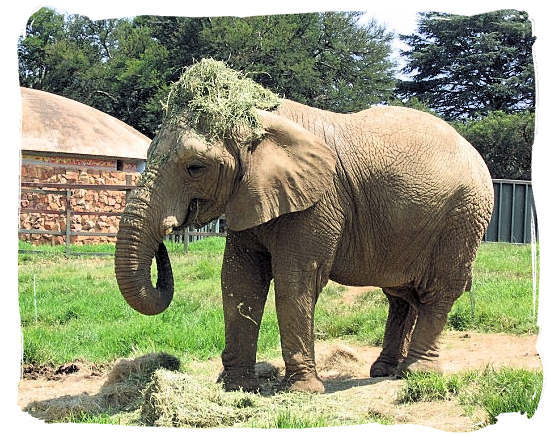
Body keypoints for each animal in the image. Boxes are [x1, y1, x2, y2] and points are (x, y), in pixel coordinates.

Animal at [116, 58, 496, 396]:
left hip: (463, 215)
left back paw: (417, 374)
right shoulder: (251, 196)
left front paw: (301, 391)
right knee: (401, 295)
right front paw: (236, 388)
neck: (258, 118)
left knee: (438, 290)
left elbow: (295, 279)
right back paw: (386, 370)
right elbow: (239, 280)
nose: (167, 234)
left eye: (195, 167)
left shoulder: (319, 201)